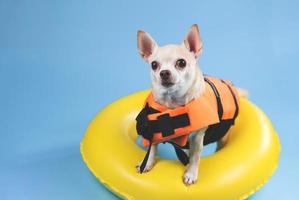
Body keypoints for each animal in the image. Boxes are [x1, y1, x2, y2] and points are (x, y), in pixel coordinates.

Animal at [135, 24, 246, 185]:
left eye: (181, 63)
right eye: (154, 65)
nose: (164, 72)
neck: (173, 105)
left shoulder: (197, 138)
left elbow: (195, 156)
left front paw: (191, 174)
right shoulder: (153, 131)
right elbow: (152, 149)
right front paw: (147, 163)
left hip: (223, 136)